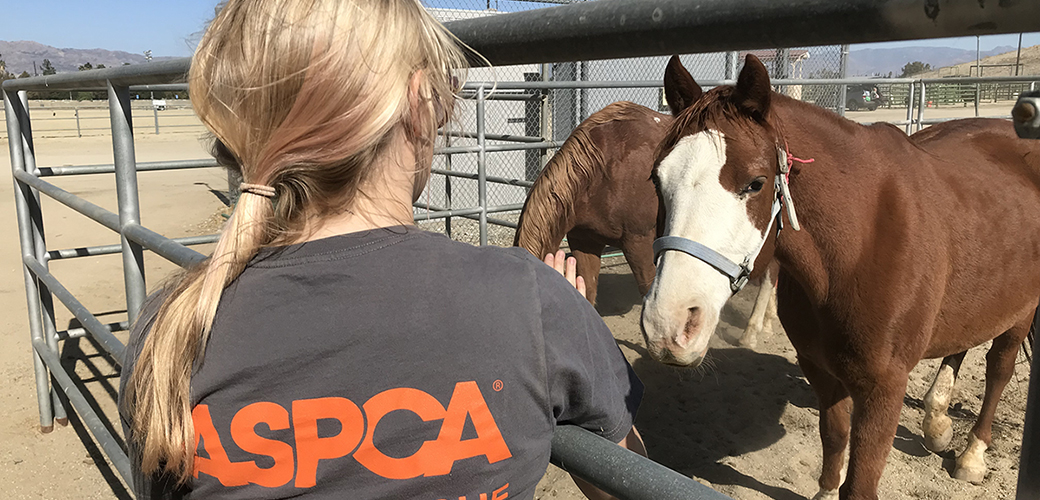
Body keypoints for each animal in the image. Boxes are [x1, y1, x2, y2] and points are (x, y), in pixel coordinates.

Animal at [640, 53, 1040, 498]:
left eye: (756, 183)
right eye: (657, 179)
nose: (668, 325)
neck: (857, 247)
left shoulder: (884, 388)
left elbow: (861, 481)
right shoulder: (818, 367)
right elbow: (833, 435)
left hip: (1020, 312)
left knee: (999, 369)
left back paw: (972, 455)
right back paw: (936, 420)